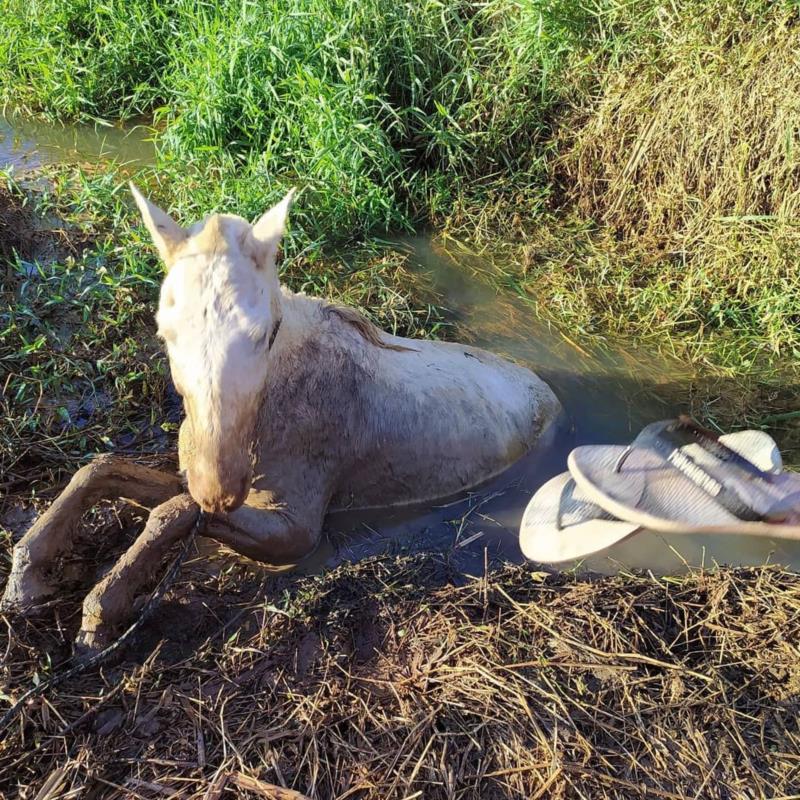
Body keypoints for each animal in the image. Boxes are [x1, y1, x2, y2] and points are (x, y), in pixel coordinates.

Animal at [1, 188, 564, 648]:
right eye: (164, 330)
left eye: (266, 333)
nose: (220, 485)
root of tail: (549, 395)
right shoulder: (199, 482)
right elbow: (101, 470)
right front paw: (26, 578)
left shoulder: (298, 528)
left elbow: (172, 511)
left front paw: (100, 610)